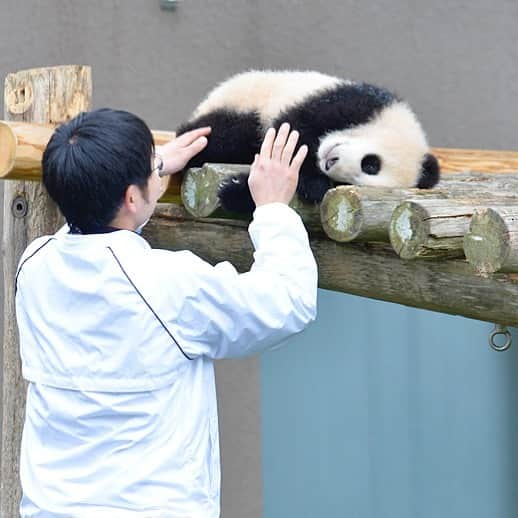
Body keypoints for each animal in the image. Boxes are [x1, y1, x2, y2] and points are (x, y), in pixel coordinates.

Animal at [177, 70, 440, 213]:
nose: (330, 162)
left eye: (348, 181)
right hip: (242, 102)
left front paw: (236, 190)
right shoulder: (353, 102)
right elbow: (293, 130)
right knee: (223, 133)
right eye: (371, 164)